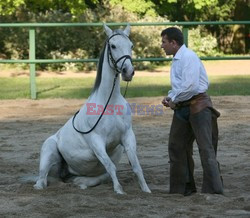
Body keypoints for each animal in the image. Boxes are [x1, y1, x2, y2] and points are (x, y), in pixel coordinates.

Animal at [33, 23, 150, 194]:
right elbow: (111, 166)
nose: (128, 71)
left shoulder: (128, 136)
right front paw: (119, 191)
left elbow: (136, 166)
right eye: (113, 46)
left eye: (131, 45)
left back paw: (79, 183)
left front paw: (146, 190)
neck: (110, 103)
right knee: (41, 179)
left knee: (90, 179)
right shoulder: (97, 141)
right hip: (49, 150)